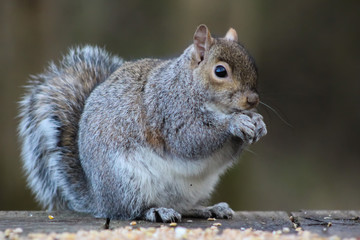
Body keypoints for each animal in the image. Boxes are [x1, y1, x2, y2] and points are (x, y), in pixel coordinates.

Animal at [19, 24, 268, 221]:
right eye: (220, 71)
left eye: (253, 65)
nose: (253, 100)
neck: (188, 85)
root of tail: (99, 199)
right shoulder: (170, 111)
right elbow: (191, 140)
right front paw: (235, 123)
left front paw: (257, 122)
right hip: (126, 181)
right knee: (131, 210)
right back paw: (156, 211)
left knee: (182, 207)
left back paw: (208, 209)